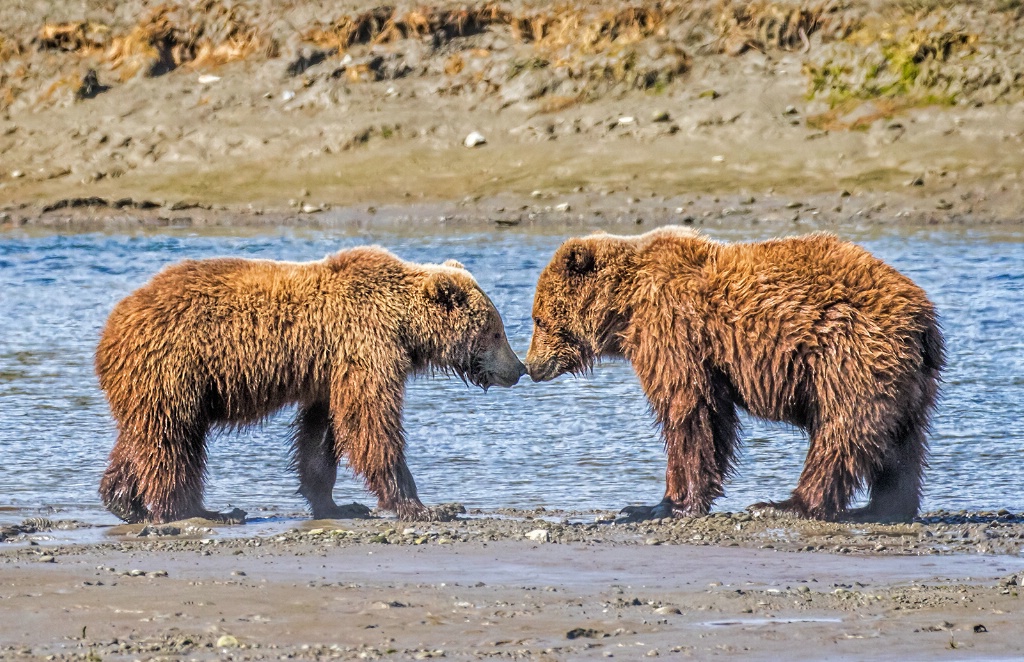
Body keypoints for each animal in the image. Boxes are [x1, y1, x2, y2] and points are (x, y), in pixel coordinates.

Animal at [97, 245, 528, 524]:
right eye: (495, 331)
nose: (519, 368)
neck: (403, 328)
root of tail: (112, 327)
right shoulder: (365, 346)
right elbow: (372, 423)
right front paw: (430, 507)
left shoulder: (328, 372)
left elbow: (323, 433)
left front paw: (338, 504)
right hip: (175, 366)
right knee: (174, 440)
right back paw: (200, 510)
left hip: (153, 382)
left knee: (142, 436)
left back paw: (124, 501)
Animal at [528, 228, 942, 524]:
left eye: (538, 319)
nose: (532, 365)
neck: (625, 308)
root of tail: (921, 317)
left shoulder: (674, 332)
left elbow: (690, 413)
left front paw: (668, 503)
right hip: (907, 379)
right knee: (903, 442)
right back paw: (884, 506)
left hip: (848, 354)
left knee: (842, 430)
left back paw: (786, 503)